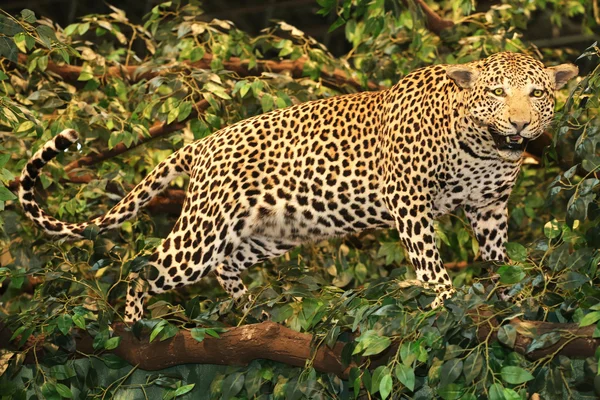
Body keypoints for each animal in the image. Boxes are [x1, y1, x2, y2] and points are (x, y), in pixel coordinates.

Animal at [19, 52, 576, 322]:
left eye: (537, 92)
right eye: (497, 92)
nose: (521, 124)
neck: (484, 146)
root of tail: (200, 145)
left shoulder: (490, 207)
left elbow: (496, 255)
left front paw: (502, 290)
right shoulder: (410, 199)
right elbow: (428, 261)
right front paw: (443, 298)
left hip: (268, 233)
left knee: (224, 265)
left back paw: (249, 308)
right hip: (201, 232)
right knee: (145, 267)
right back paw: (132, 325)